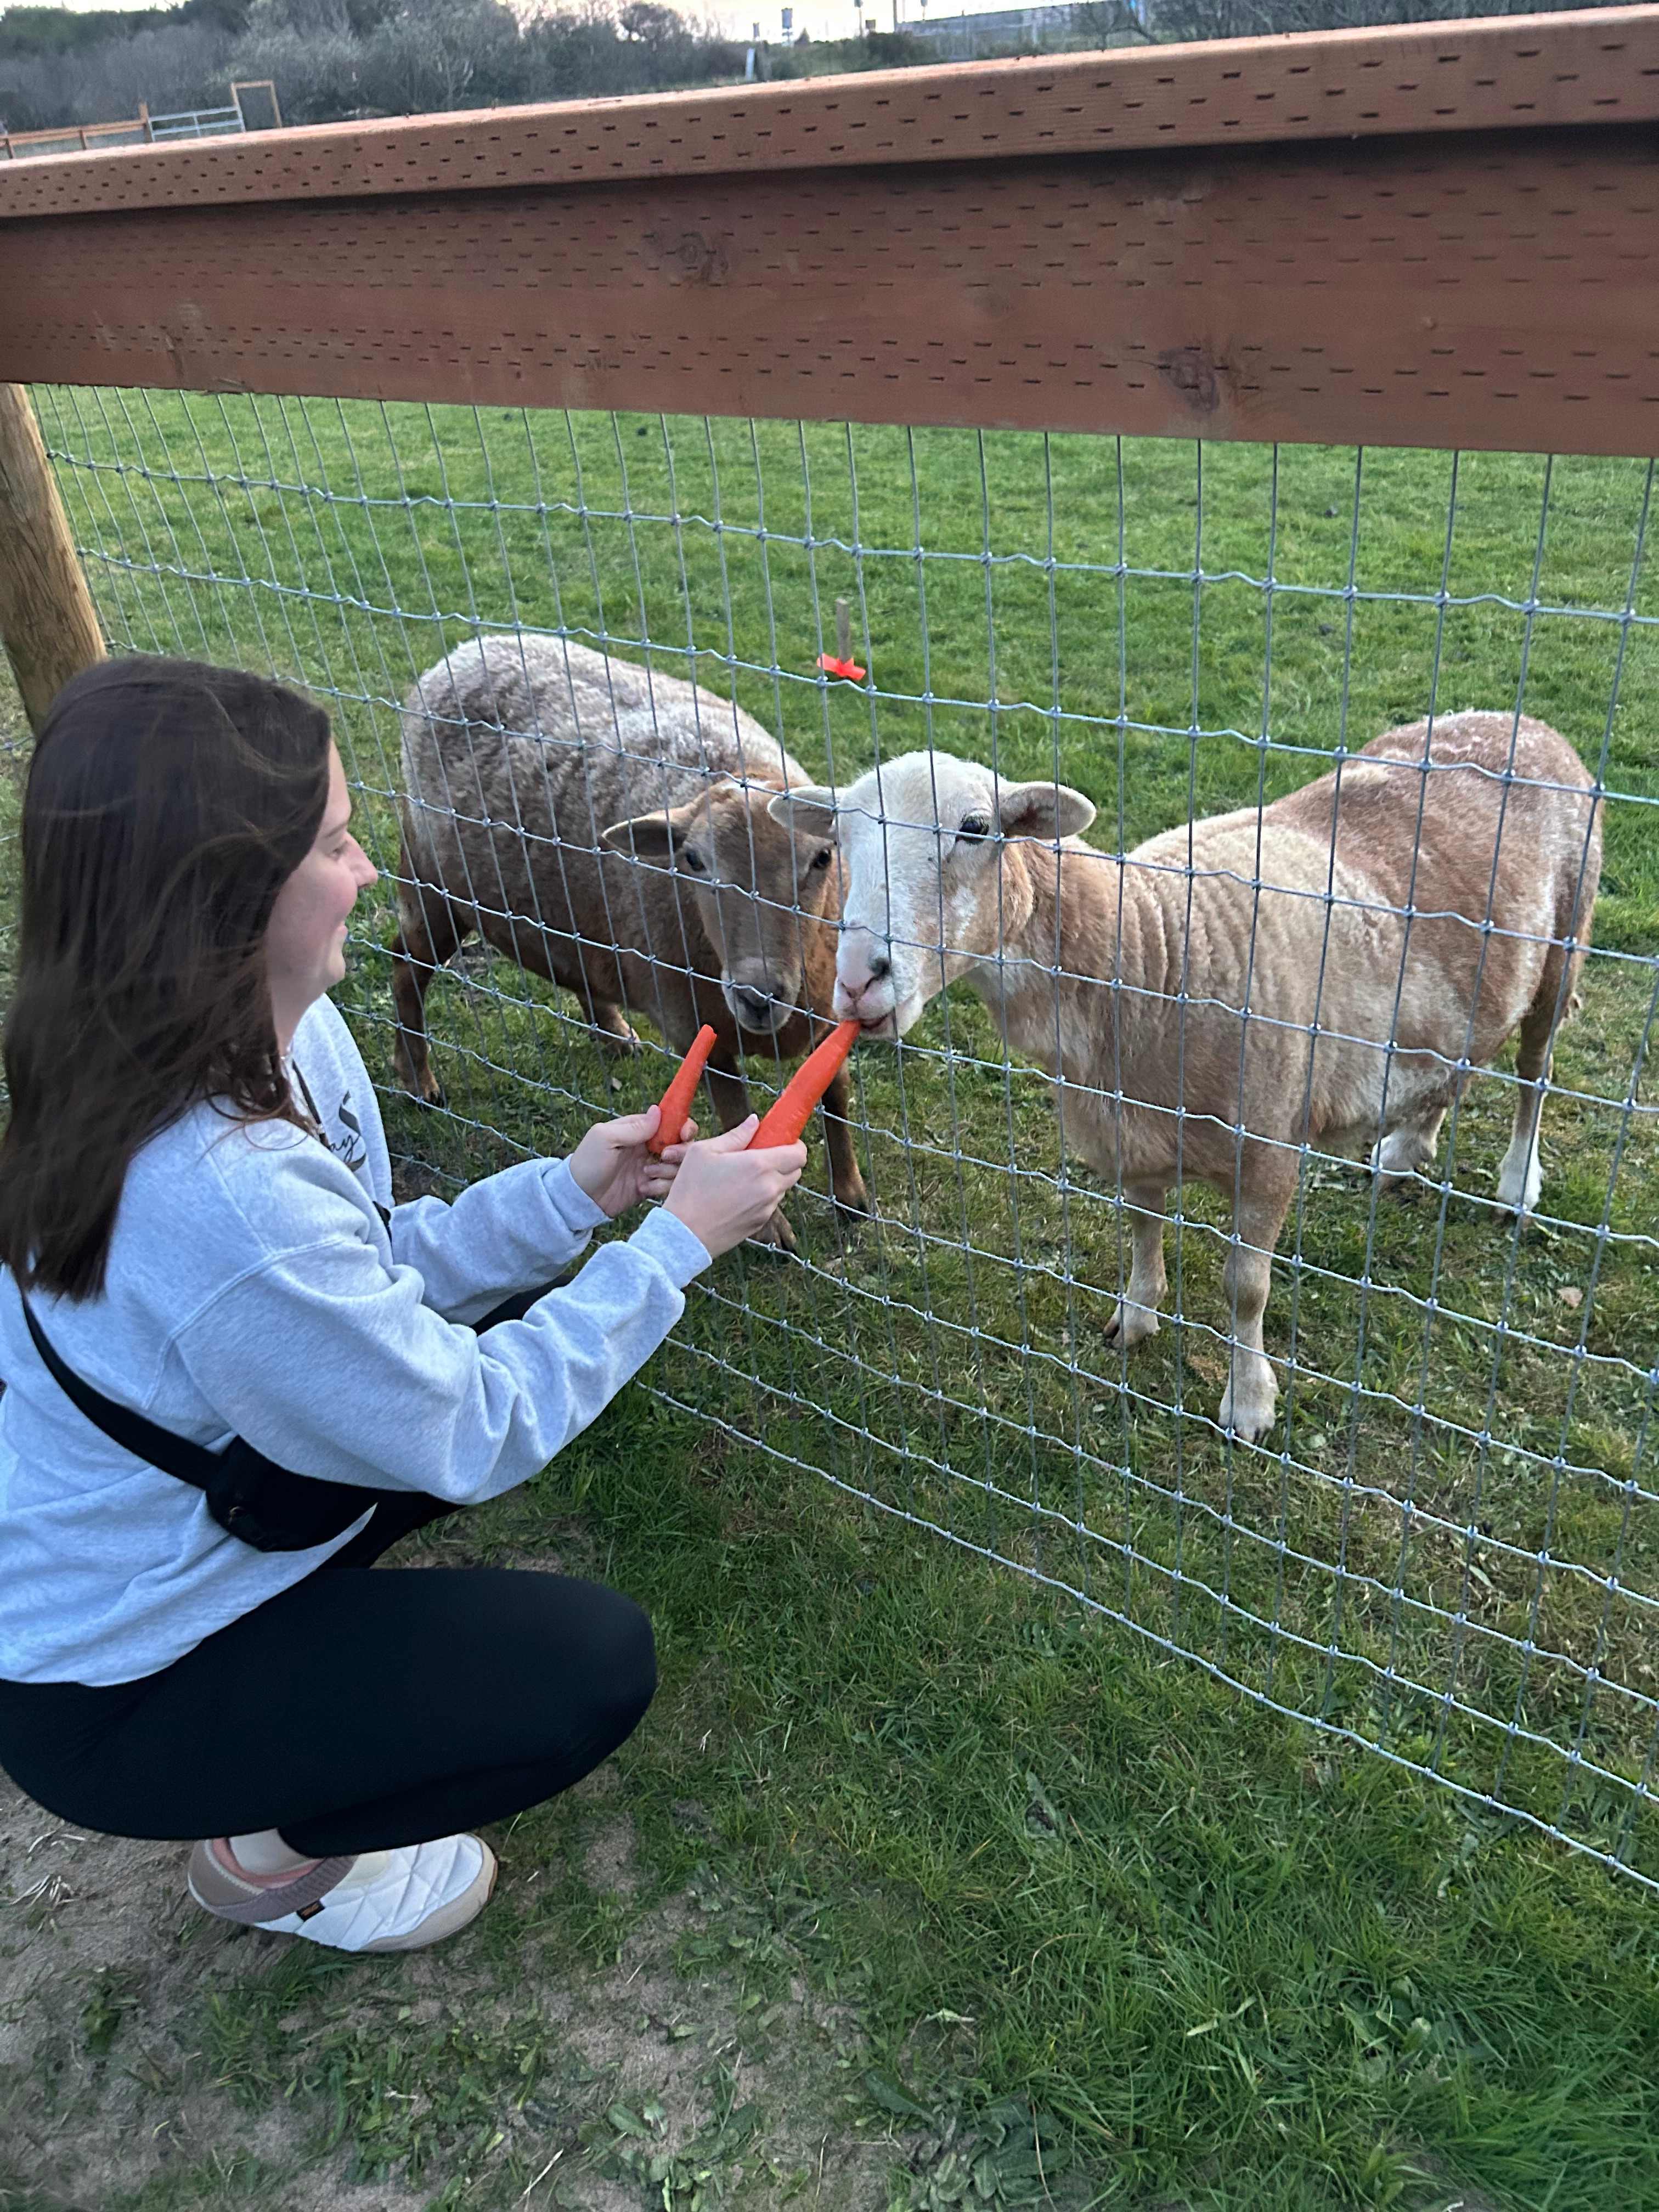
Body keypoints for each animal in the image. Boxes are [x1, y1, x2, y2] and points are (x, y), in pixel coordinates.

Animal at [391, 633, 869, 1248]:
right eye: (693, 861)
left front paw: (852, 1195)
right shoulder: (699, 1027)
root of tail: (468, 648)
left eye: (823, 857)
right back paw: (419, 1078)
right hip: (434, 883)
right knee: (405, 967)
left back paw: (614, 1032)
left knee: (575, 964)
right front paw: (768, 1230)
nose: (757, 995)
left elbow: (836, 1093)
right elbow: (735, 1113)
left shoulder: (827, 1013)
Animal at [771, 713, 1602, 1440]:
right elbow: (1143, 1227)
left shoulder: (1270, 1153)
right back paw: (1405, 1150)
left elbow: (1246, 1288)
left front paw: (1249, 1403)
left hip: (1567, 942)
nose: (858, 981)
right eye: (838, 838)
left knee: (1534, 1074)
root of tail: (1523, 724)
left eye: (975, 829)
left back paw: (1516, 1185)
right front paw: (1137, 1315)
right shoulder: (1131, 1134)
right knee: (1459, 1060)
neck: (1150, 945)